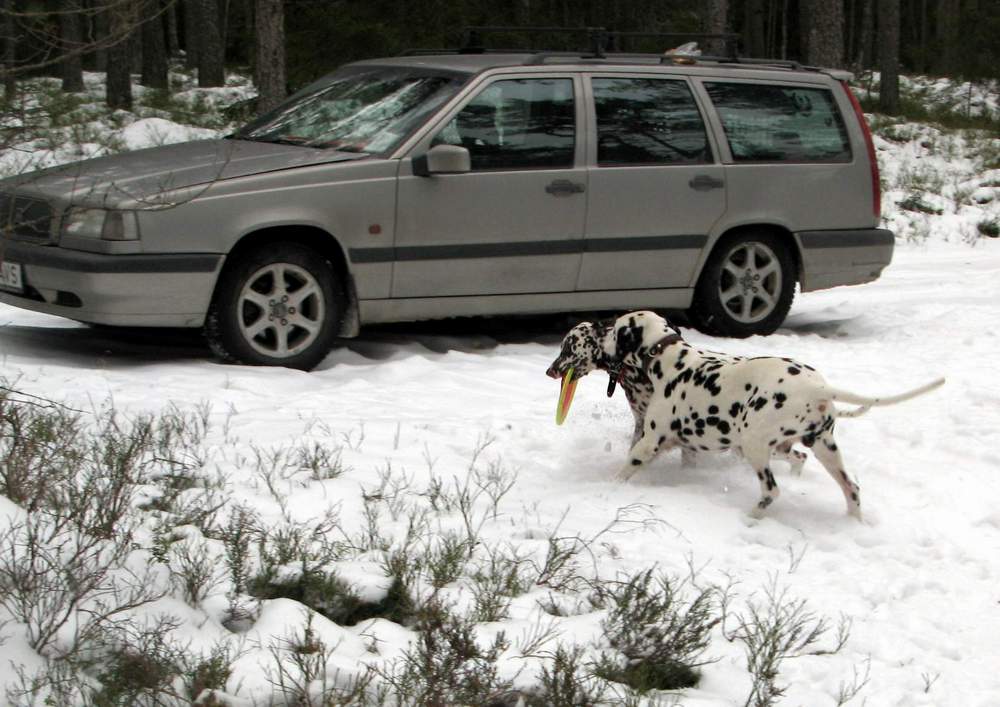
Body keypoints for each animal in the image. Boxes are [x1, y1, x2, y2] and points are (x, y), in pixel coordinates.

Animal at [559, 311, 944, 517]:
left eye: (616, 329)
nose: (601, 325)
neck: (670, 361)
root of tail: (817, 388)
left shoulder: (649, 443)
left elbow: (623, 471)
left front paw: (605, 490)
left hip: (755, 446)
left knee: (772, 491)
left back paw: (752, 516)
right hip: (823, 449)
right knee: (850, 488)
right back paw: (854, 521)